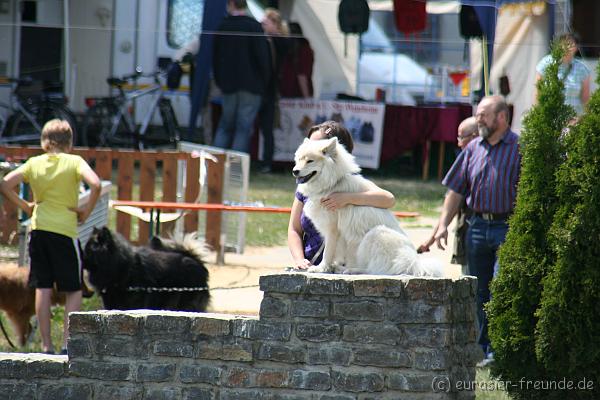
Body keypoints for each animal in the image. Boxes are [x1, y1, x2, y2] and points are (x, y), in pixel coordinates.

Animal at [292, 136, 442, 276]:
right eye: (298, 159)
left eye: (310, 161)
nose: (294, 171)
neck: (331, 185)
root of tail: (413, 263)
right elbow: (336, 254)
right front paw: (331, 266)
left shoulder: (332, 229)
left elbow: (327, 252)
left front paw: (321, 268)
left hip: (376, 234)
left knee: (375, 270)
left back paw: (350, 270)